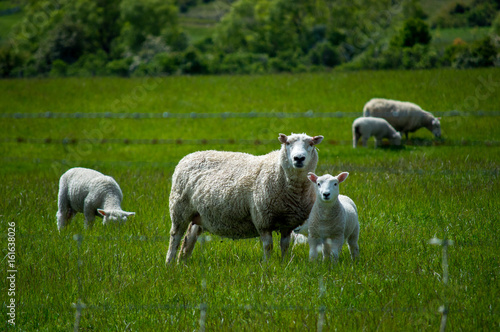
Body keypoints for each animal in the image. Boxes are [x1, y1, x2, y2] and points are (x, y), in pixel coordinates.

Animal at [167, 132, 324, 264]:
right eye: (288, 143)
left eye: (311, 144)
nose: (299, 158)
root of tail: (189, 156)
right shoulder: (262, 220)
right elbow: (268, 246)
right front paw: (268, 265)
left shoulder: (288, 223)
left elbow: (285, 245)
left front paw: (284, 264)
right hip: (179, 208)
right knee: (175, 236)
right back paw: (170, 263)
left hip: (199, 214)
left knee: (189, 237)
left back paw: (183, 261)